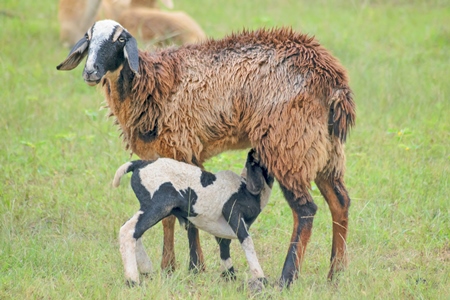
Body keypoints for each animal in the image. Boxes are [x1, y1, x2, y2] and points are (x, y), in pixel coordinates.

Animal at [112, 150, 274, 288]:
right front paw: (260, 278)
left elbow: (224, 246)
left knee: (135, 231)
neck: (246, 190)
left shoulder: (221, 229)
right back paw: (133, 280)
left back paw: (147, 271)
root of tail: (140, 164)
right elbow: (246, 241)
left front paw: (229, 277)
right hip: (158, 205)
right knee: (128, 230)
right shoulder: (232, 211)